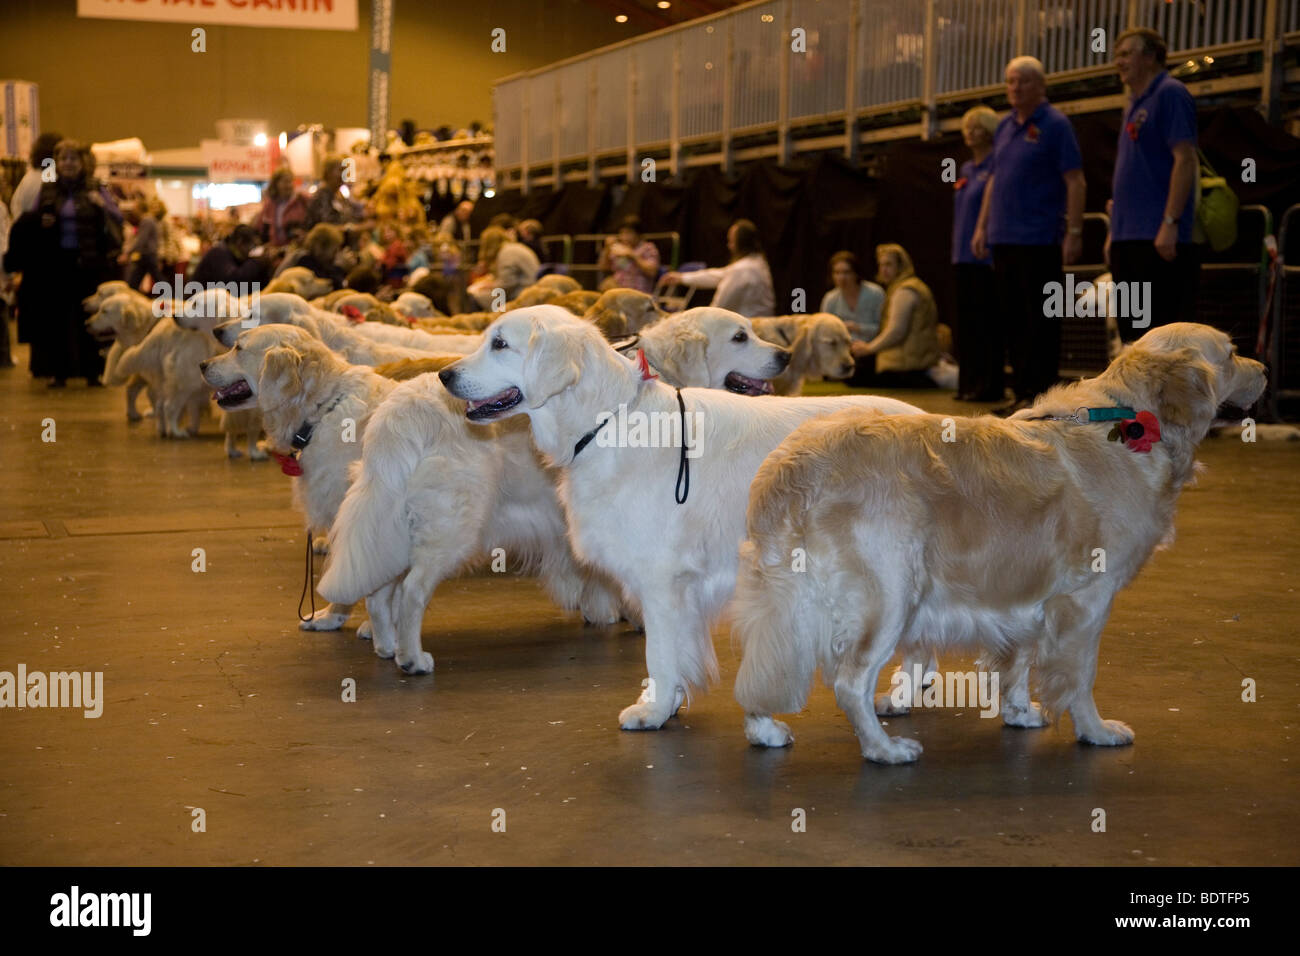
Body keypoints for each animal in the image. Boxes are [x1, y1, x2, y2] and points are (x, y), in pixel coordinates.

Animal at [439, 306, 925, 723]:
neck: (609, 421)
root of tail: (927, 418)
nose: (444, 375)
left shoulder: (661, 579)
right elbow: (676, 651)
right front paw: (668, 704)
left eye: (500, 344)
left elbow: (659, 653)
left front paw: (653, 712)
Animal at [738, 321, 1263, 764]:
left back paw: (765, 729)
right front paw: (1095, 730)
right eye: (1231, 353)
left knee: (764, 667)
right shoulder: (1086, 599)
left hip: (788, 597)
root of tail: (795, 462)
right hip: (887, 597)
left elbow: (1020, 658)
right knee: (850, 682)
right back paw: (883, 749)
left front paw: (1019, 712)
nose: (1263, 369)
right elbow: (1080, 677)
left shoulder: (1031, 589)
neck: (1130, 419)